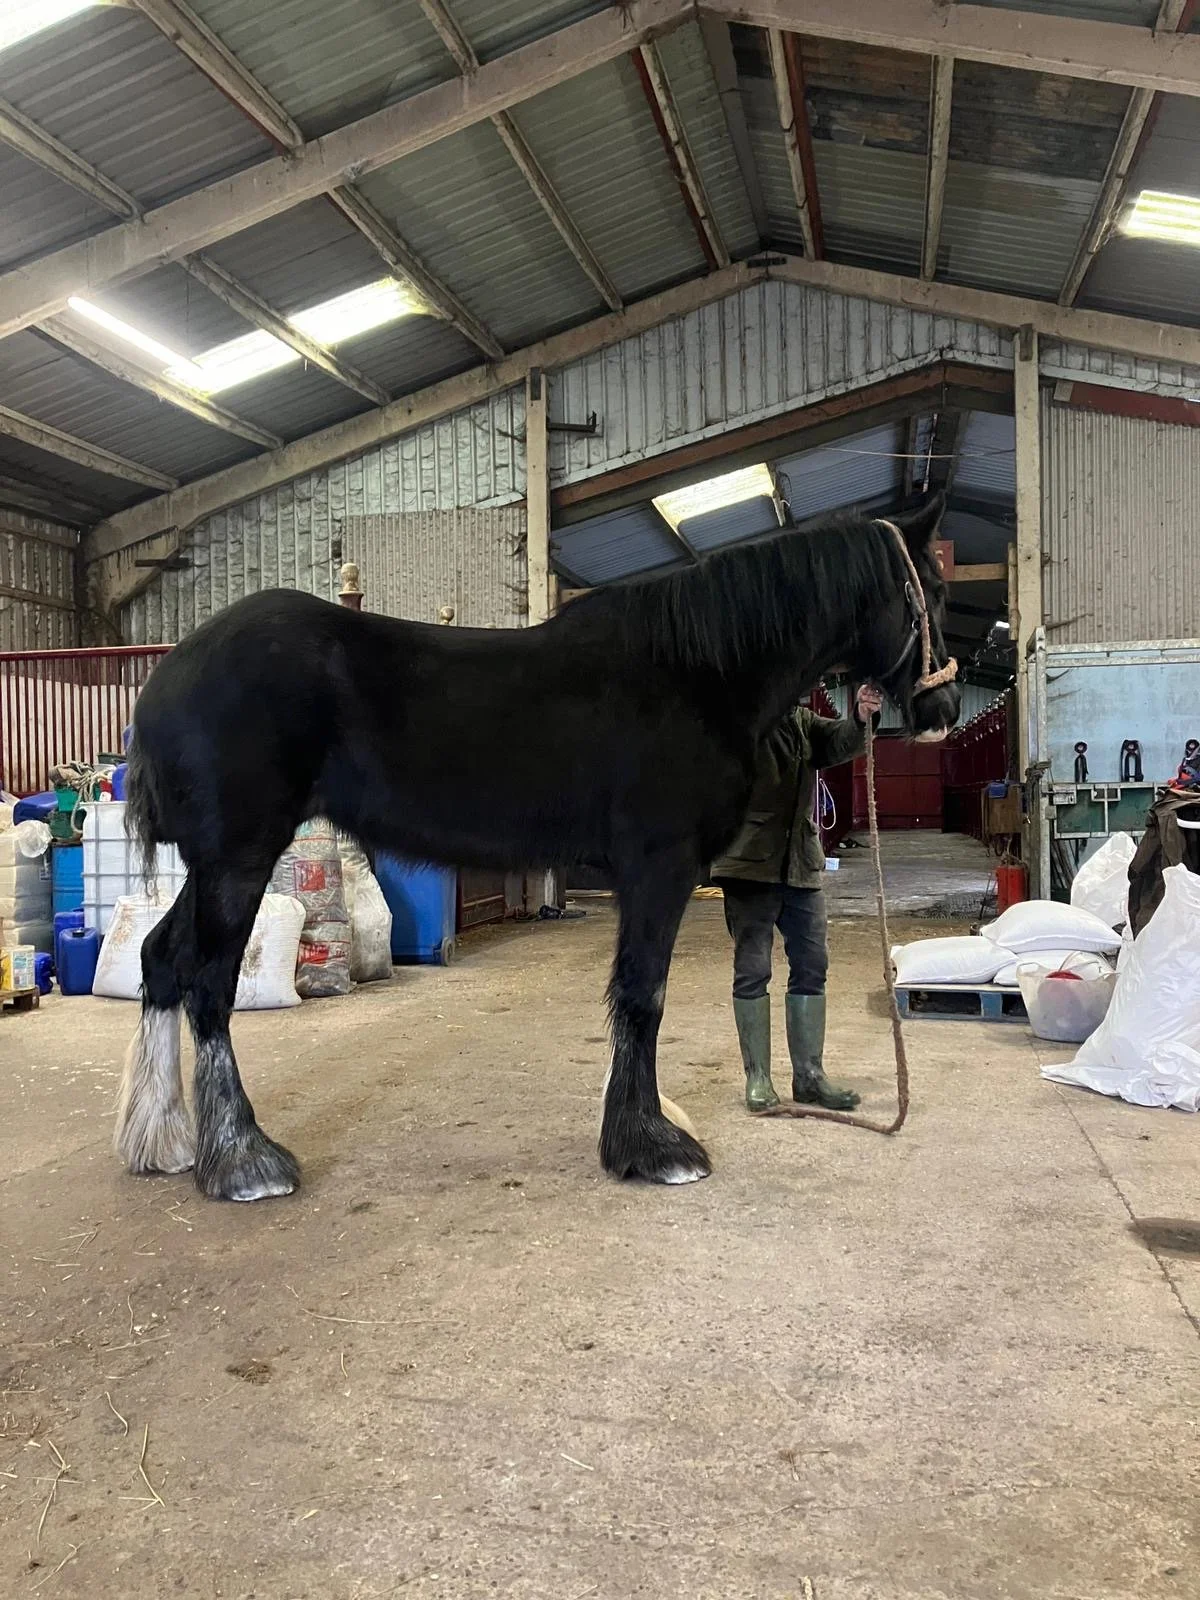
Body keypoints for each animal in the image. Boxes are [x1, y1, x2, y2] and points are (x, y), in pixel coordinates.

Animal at [116, 493, 960, 1202]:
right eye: (931, 593)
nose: (943, 708)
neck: (696, 673)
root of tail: (166, 677)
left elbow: (632, 997)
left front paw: (636, 1131)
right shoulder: (659, 868)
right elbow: (642, 996)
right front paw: (653, 1149)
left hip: (216, 864)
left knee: (163, 960)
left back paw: (164, 1142)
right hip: (239, 858)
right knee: (208, 984)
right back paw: (244, 1161)